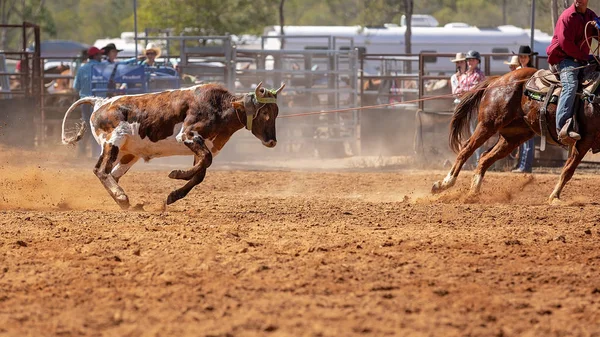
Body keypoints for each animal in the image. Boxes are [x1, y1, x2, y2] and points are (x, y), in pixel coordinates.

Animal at [59, 82, 284, 207]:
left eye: (276, 113)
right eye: (265, 112)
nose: (272, 141)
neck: (219, 106)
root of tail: (100, 102)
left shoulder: (203, 144)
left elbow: (201, 171)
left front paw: (174, 195)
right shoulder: (187, 135)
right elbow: (206, 161)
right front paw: (176, 174)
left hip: (128, 154)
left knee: (112, 174)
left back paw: (123, 201)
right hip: (112, 141)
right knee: (101, 170)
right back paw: (122, 197)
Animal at [432, 66, 596, 202]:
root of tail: (497, 80)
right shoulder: (585, 140)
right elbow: (568, 170)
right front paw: (554, 197)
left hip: (513, 136)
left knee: (485, 157)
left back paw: (473, 193)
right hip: (488, 124)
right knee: (466, 149)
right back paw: (444, 184)